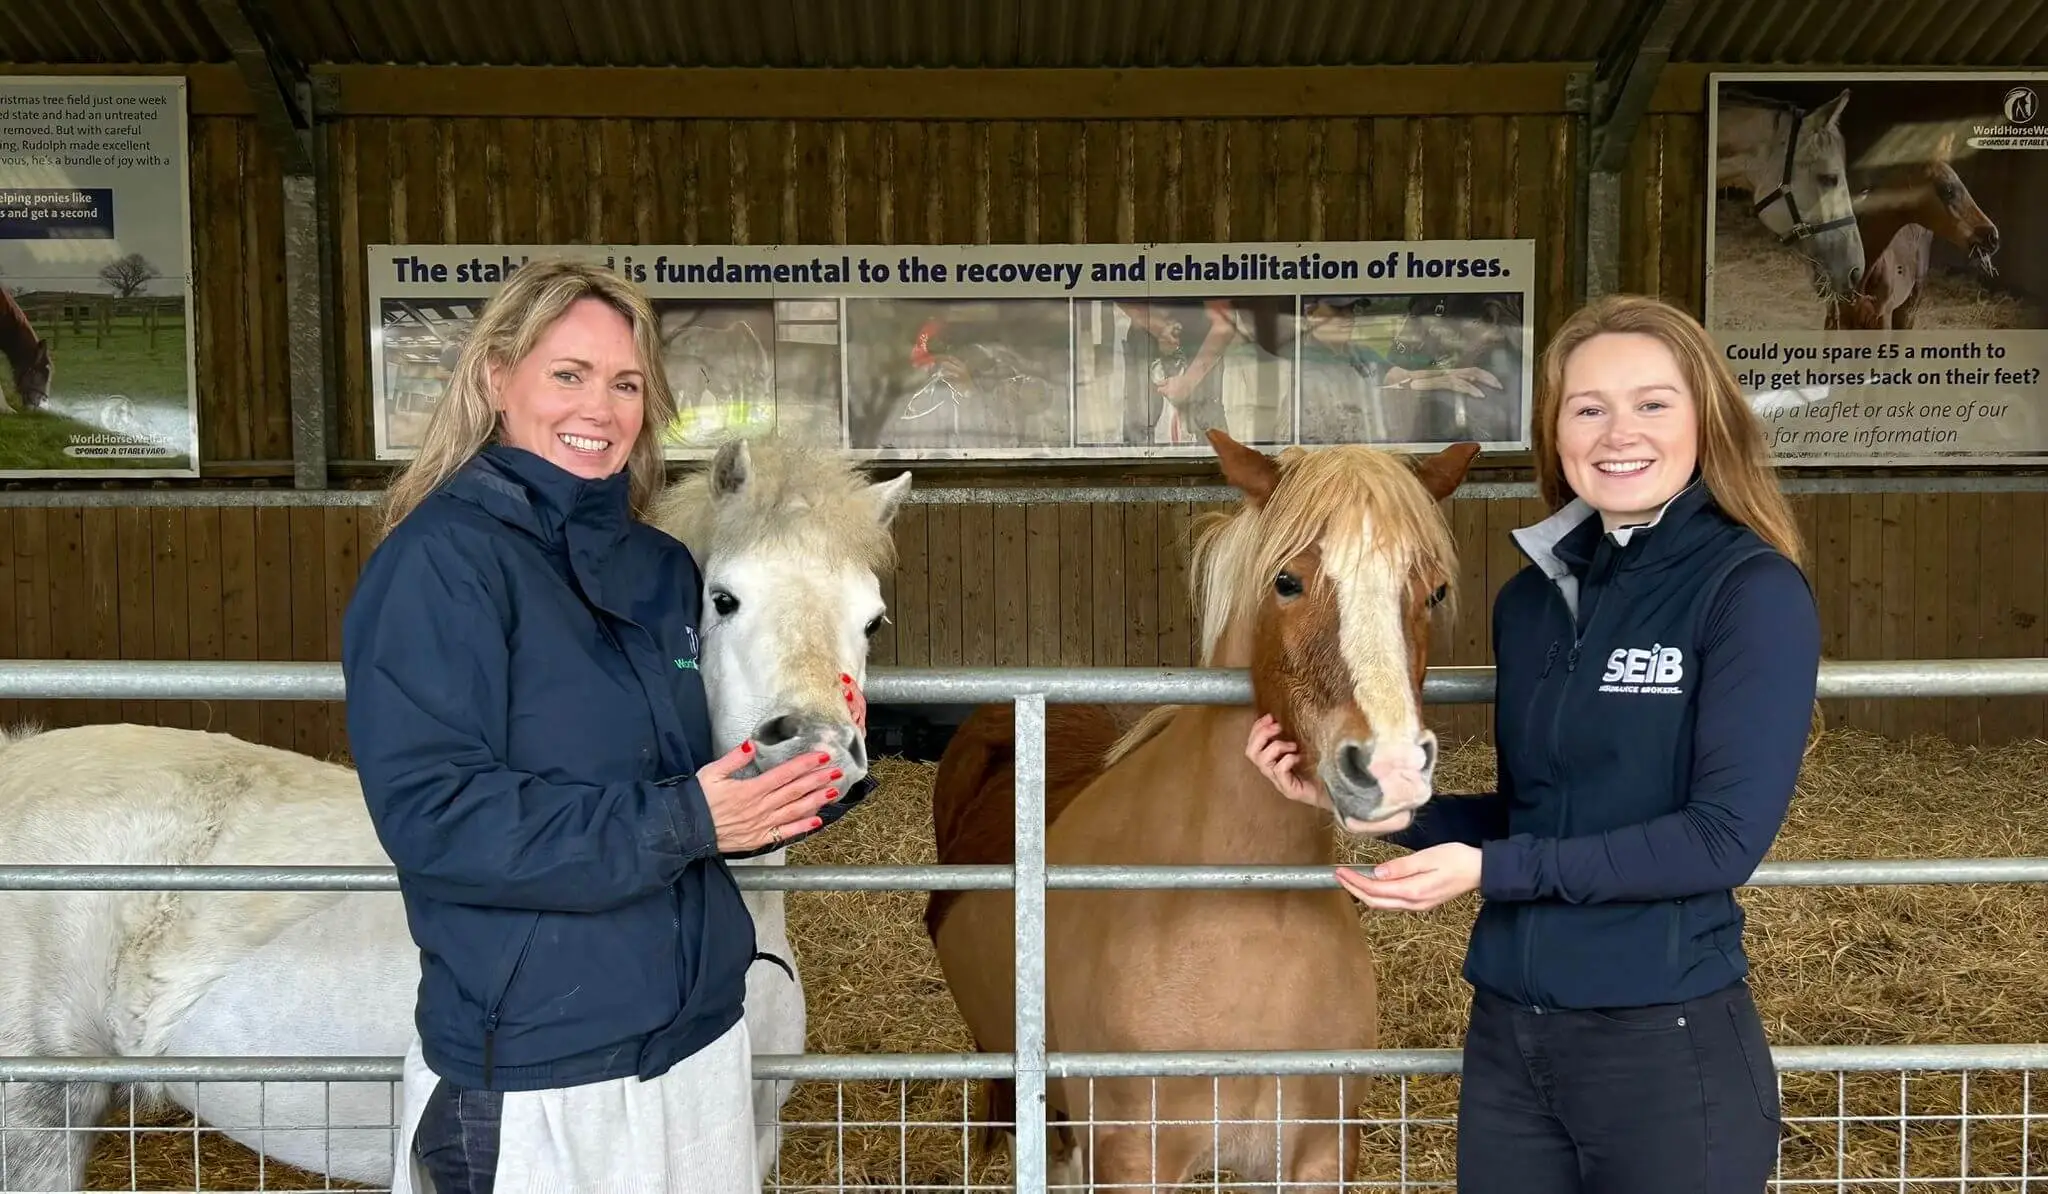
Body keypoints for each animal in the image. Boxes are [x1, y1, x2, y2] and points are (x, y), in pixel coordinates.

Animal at [925, 432, 1474, 1194]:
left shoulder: (1320, 1154)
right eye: (1286, 581)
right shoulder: (1133, 1158)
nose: (1390, 768)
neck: (1240, 915)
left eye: (1434, 591)